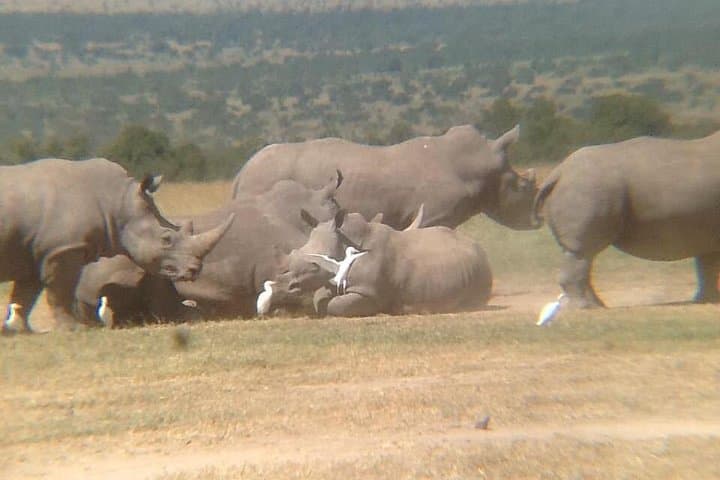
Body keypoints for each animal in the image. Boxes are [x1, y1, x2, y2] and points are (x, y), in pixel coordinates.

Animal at [0, 158, 233, 333]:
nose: (195, 270)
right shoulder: (63, 248)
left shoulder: (37, 251)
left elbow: (25, 294)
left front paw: (19, 329)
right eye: (166, 239)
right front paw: (75, 329)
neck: (118, 204)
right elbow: (60, 290)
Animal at [276, 209, 493, 317]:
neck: (345, 240)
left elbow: (337, 306)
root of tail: (479, 247)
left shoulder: (369, 291)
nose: (289, 285)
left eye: (315, 265)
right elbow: (320, 299)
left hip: (479, 268)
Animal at [533, 130, 720, 308]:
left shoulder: (705, 229)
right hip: (587, 188)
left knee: (581, 255)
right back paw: (584, 307)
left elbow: (707, 264)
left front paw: (708, 301)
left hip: (583, 188)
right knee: (582, 252)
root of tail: (558, 173)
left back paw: (597, 306)